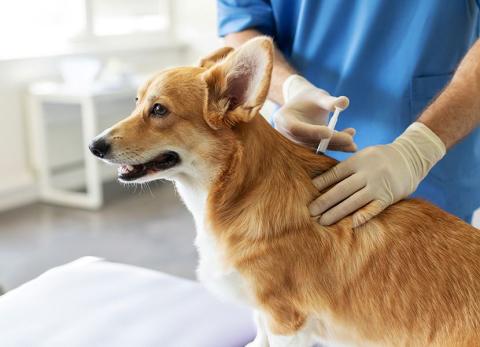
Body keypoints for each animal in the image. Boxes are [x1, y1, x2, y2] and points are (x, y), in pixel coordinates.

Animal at [89, 36, 480, 346]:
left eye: (159, 110)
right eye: (136, 102)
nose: (94, 146)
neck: (236, 195)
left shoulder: (286, 319)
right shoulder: (263, 311)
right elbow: (257, 334)